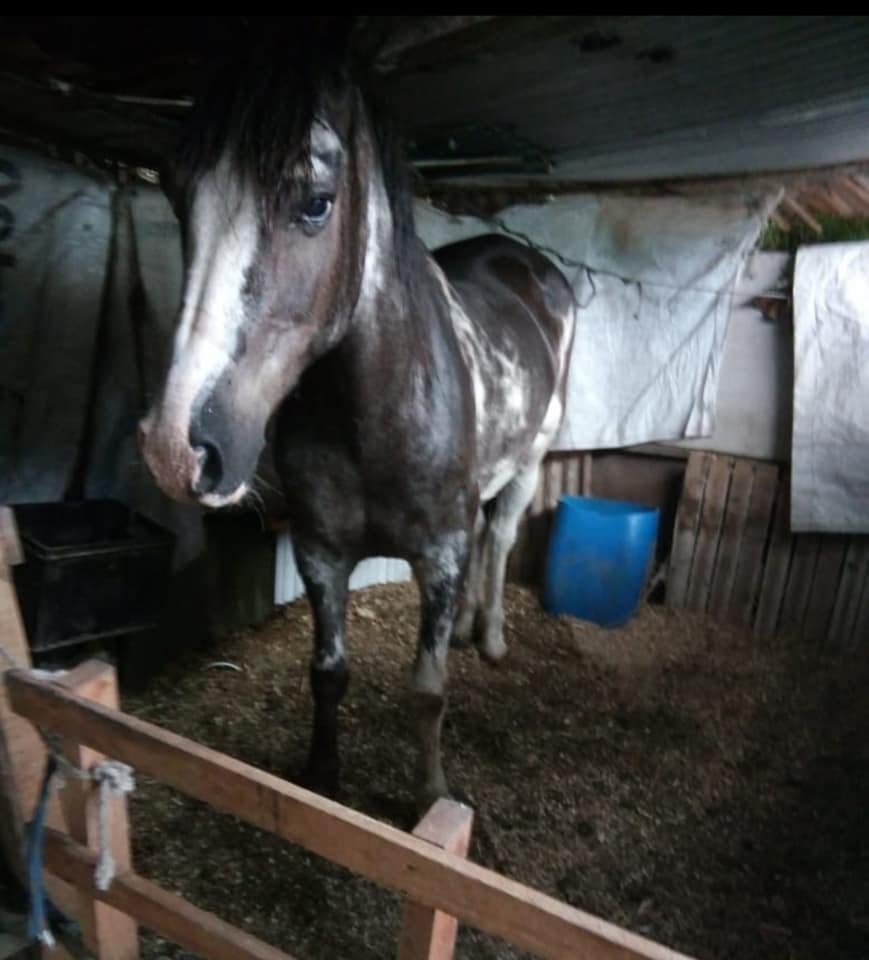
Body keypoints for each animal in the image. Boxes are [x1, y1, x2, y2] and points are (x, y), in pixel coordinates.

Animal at [139, 31, 576, 810]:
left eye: (316, 203)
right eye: (178, 193)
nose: (175, 450)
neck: (374, 413)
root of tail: (528, 262)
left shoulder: (438, 553)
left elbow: (427, 689)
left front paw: (430, 798)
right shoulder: (321, 553)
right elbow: (327, 672)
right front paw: (321, 779)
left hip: (532, 460)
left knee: (499, 536)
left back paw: (490, 637)